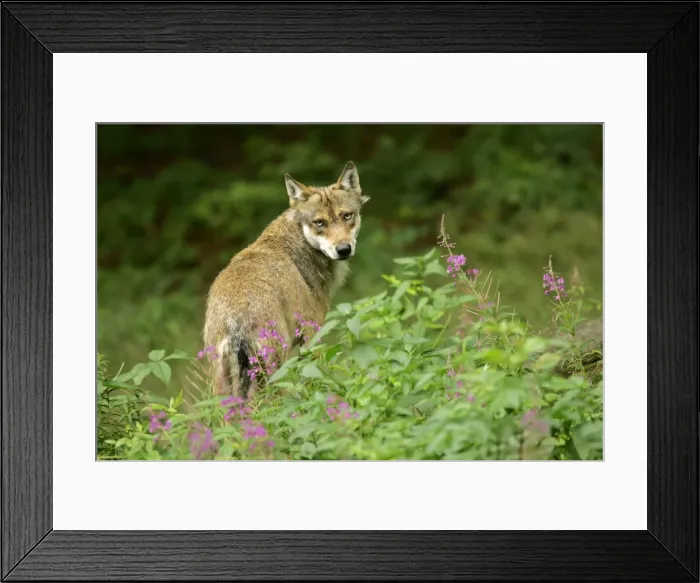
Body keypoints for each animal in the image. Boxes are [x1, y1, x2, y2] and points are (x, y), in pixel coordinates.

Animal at [202, 161, 369, 400]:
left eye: (347, 216)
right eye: (320, 222)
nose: (344, 249)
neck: (300, 243)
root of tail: (235, 321)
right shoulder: (313, 334)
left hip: (222, 386)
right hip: (276, 372)